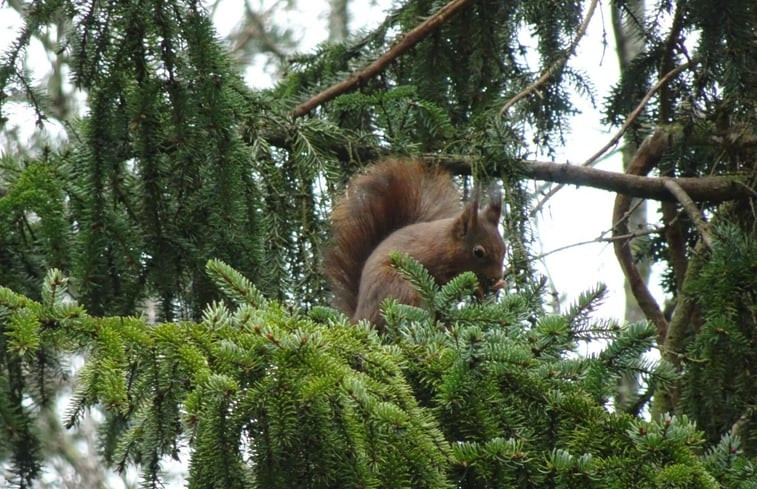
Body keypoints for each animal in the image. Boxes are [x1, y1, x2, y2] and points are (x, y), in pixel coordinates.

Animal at [322, 158, 504, 326]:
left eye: (504, 248)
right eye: (478, 252)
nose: (497, 277)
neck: (446, 243)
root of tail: (361, 317)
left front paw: (498, 285)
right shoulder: (433, 261)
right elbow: (444, 280)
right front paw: (478, 287)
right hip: (398, 287)